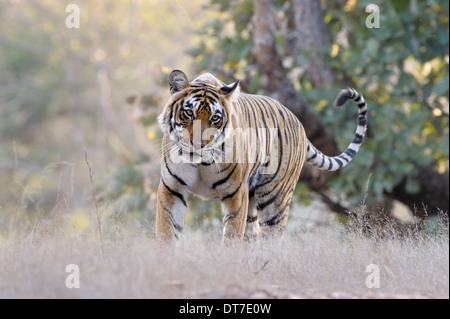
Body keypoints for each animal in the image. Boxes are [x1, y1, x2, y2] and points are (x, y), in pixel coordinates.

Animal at [156, 70, 368, 245]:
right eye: (189, 113)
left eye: (215, 118)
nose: (199, 145)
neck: (200, 163)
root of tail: (299, 122)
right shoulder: (172, 188)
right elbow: (166, 232)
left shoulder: (235, 193)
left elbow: (232, 235)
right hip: (252, 201)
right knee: (253, 235)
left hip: (275, 198)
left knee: (273, 239)